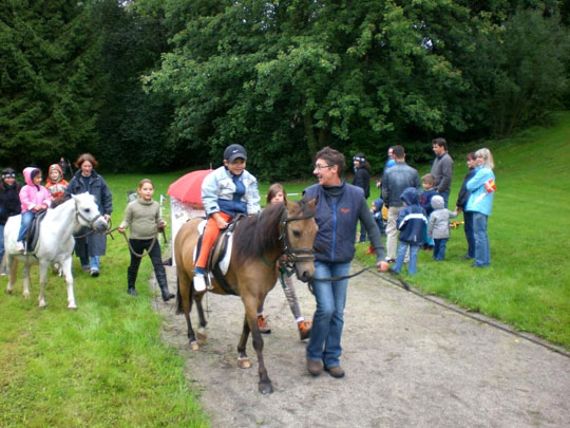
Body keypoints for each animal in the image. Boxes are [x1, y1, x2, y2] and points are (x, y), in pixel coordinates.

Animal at [174, 199, 316, 392]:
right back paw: (192, 338)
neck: (257, 250)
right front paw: (264, 379)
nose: (308, 273)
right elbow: (257, 339)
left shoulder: (258, 297)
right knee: (187, 306)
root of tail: (185, 225)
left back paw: (202, 329)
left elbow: (247, 327)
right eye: (296, 232)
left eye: (316, 230)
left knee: (197, 297)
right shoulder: (249, 297)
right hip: (183, 276)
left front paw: (242, 354)